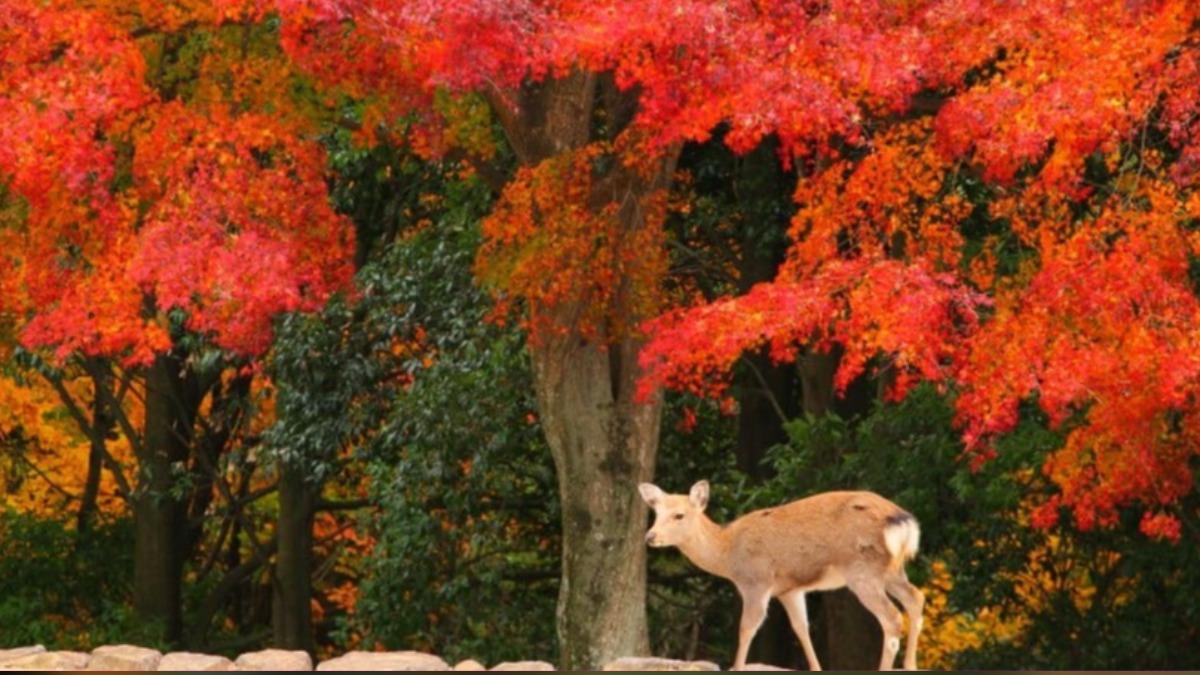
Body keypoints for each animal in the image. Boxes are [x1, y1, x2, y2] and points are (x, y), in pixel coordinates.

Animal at [638, 480, 924, 671]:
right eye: (656, 512)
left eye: (679, 515)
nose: (650, 536)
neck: (728, 554)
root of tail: (901, 520)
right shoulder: (790, 590)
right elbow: (801, 628)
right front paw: (816, 668)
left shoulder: (757, 581)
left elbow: (747, 628)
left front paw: (737, 666)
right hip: (891, 569)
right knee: (916, 598)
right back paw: (911, 665)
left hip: (862, 569)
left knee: (892, 617)